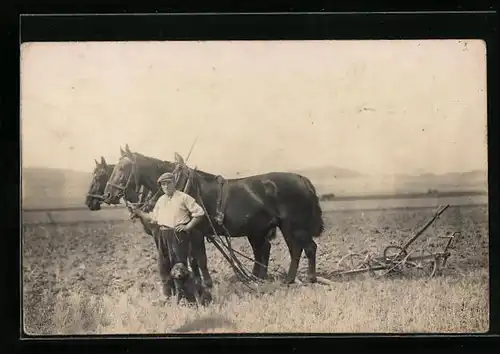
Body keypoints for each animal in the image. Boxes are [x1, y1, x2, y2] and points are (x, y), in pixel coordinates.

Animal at [103, 147, 326, 284]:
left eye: (122, 168)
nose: (108, 195)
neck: (181, 186)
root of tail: (303, 180)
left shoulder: (196, 232)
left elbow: (200, 259)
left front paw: (208, 283)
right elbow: (193, 259)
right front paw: (197, 281)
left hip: (293, 227)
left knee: (304, 249)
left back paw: (302, 278)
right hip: (265, 229)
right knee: (276, 250)